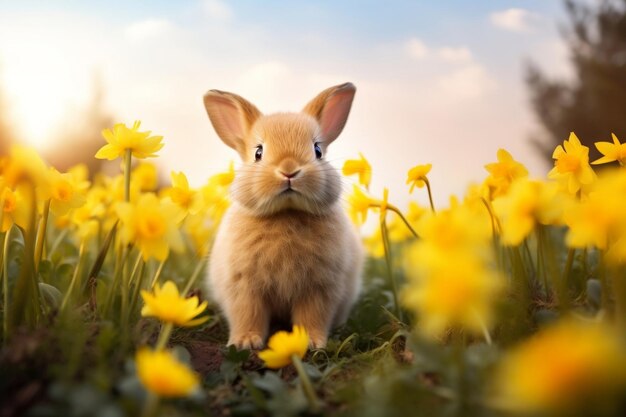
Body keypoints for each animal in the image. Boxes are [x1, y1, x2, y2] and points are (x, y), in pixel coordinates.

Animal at [202, 81, 364, 348]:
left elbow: (312, 316)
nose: (289, 170)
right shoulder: (244, 287)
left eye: (317, 150)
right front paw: (246, 342)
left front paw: (310, 342)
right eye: (258, 152)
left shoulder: (319, 288)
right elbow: (248, 314)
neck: (286, 213)